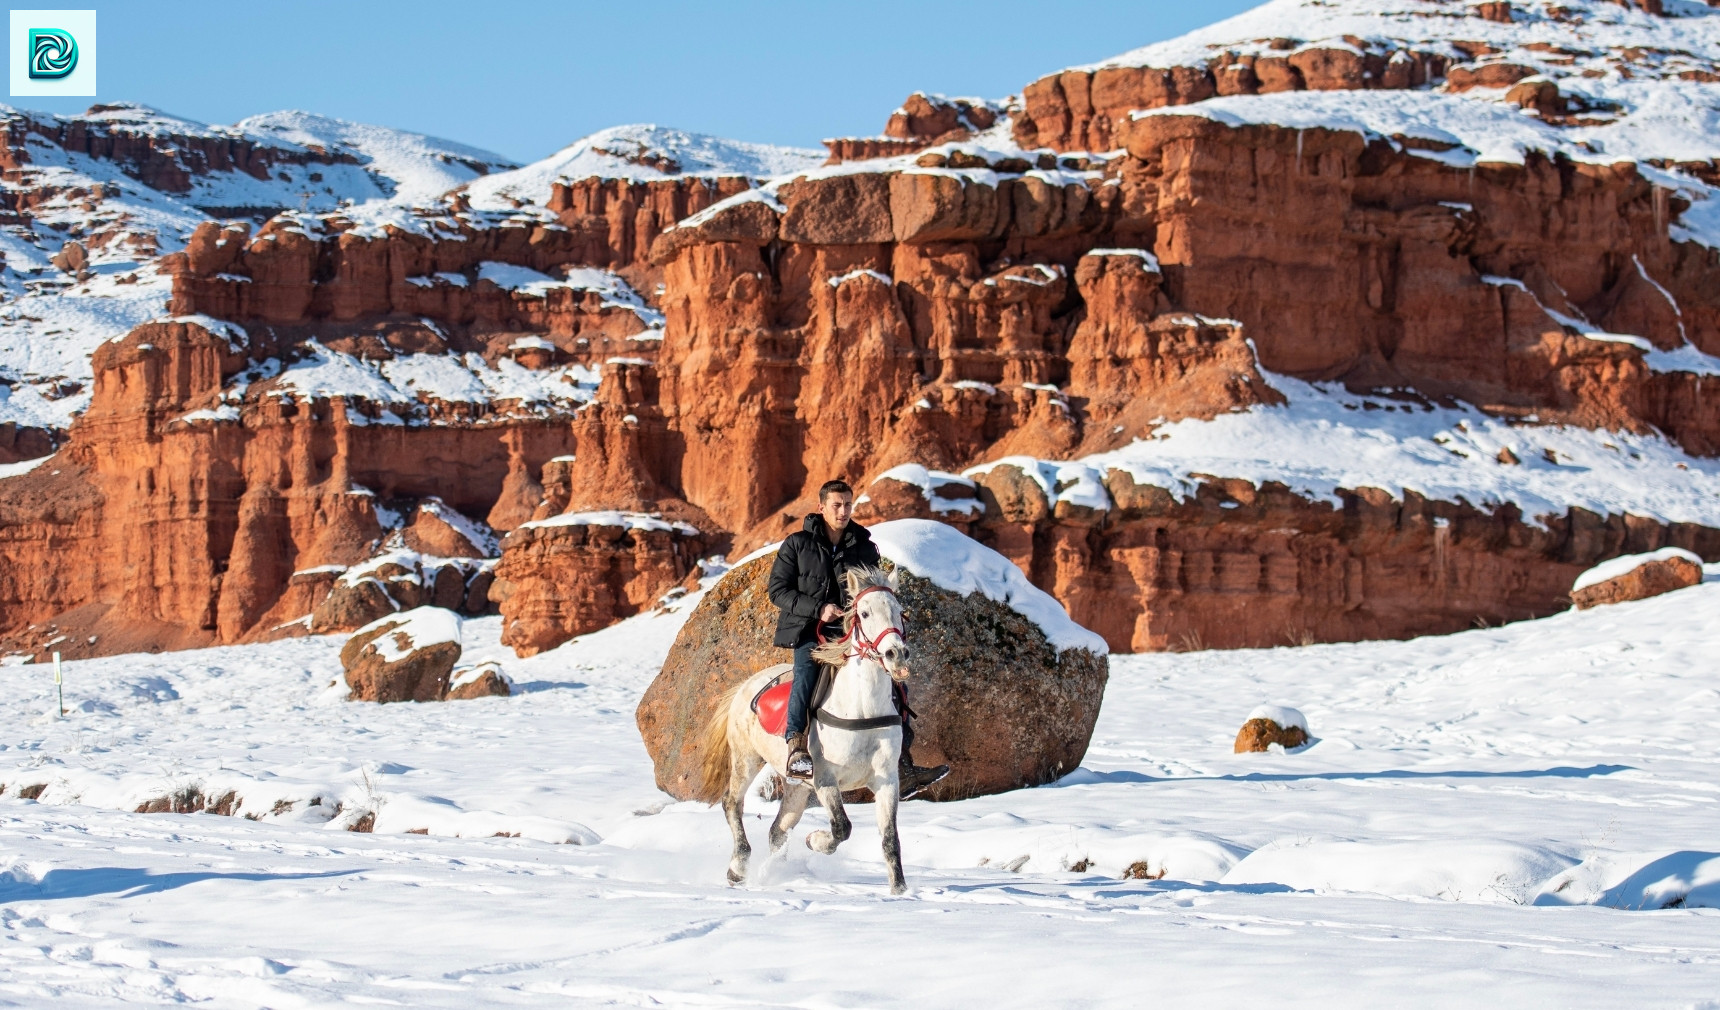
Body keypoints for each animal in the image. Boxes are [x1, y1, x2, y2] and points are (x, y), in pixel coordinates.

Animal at [698, 567, 915, 894]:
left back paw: (774, 872)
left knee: (778, 830)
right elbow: (842, 827)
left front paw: (899, 892)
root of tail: (744, 687)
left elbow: (890, 841)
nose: (896, 655)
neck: (862, 708)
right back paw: (738, 868)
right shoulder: (826, 778)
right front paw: (815, 841)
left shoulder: (886, 780)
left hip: (797, 787)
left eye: (900, 611)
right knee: (732, 803)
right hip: (746, 759)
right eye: (864, 613)